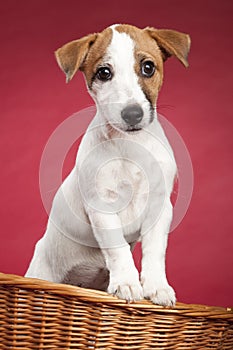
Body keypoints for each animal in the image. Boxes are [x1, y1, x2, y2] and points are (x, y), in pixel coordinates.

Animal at [25, 23, 190, 306]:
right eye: (104, 73)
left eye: (148, 67)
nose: (132, 114)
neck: (130, 144)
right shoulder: (101, 208)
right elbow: (118, 249)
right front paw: (127, 283)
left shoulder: (160, 207)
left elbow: (155, 250)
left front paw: (157, 286)